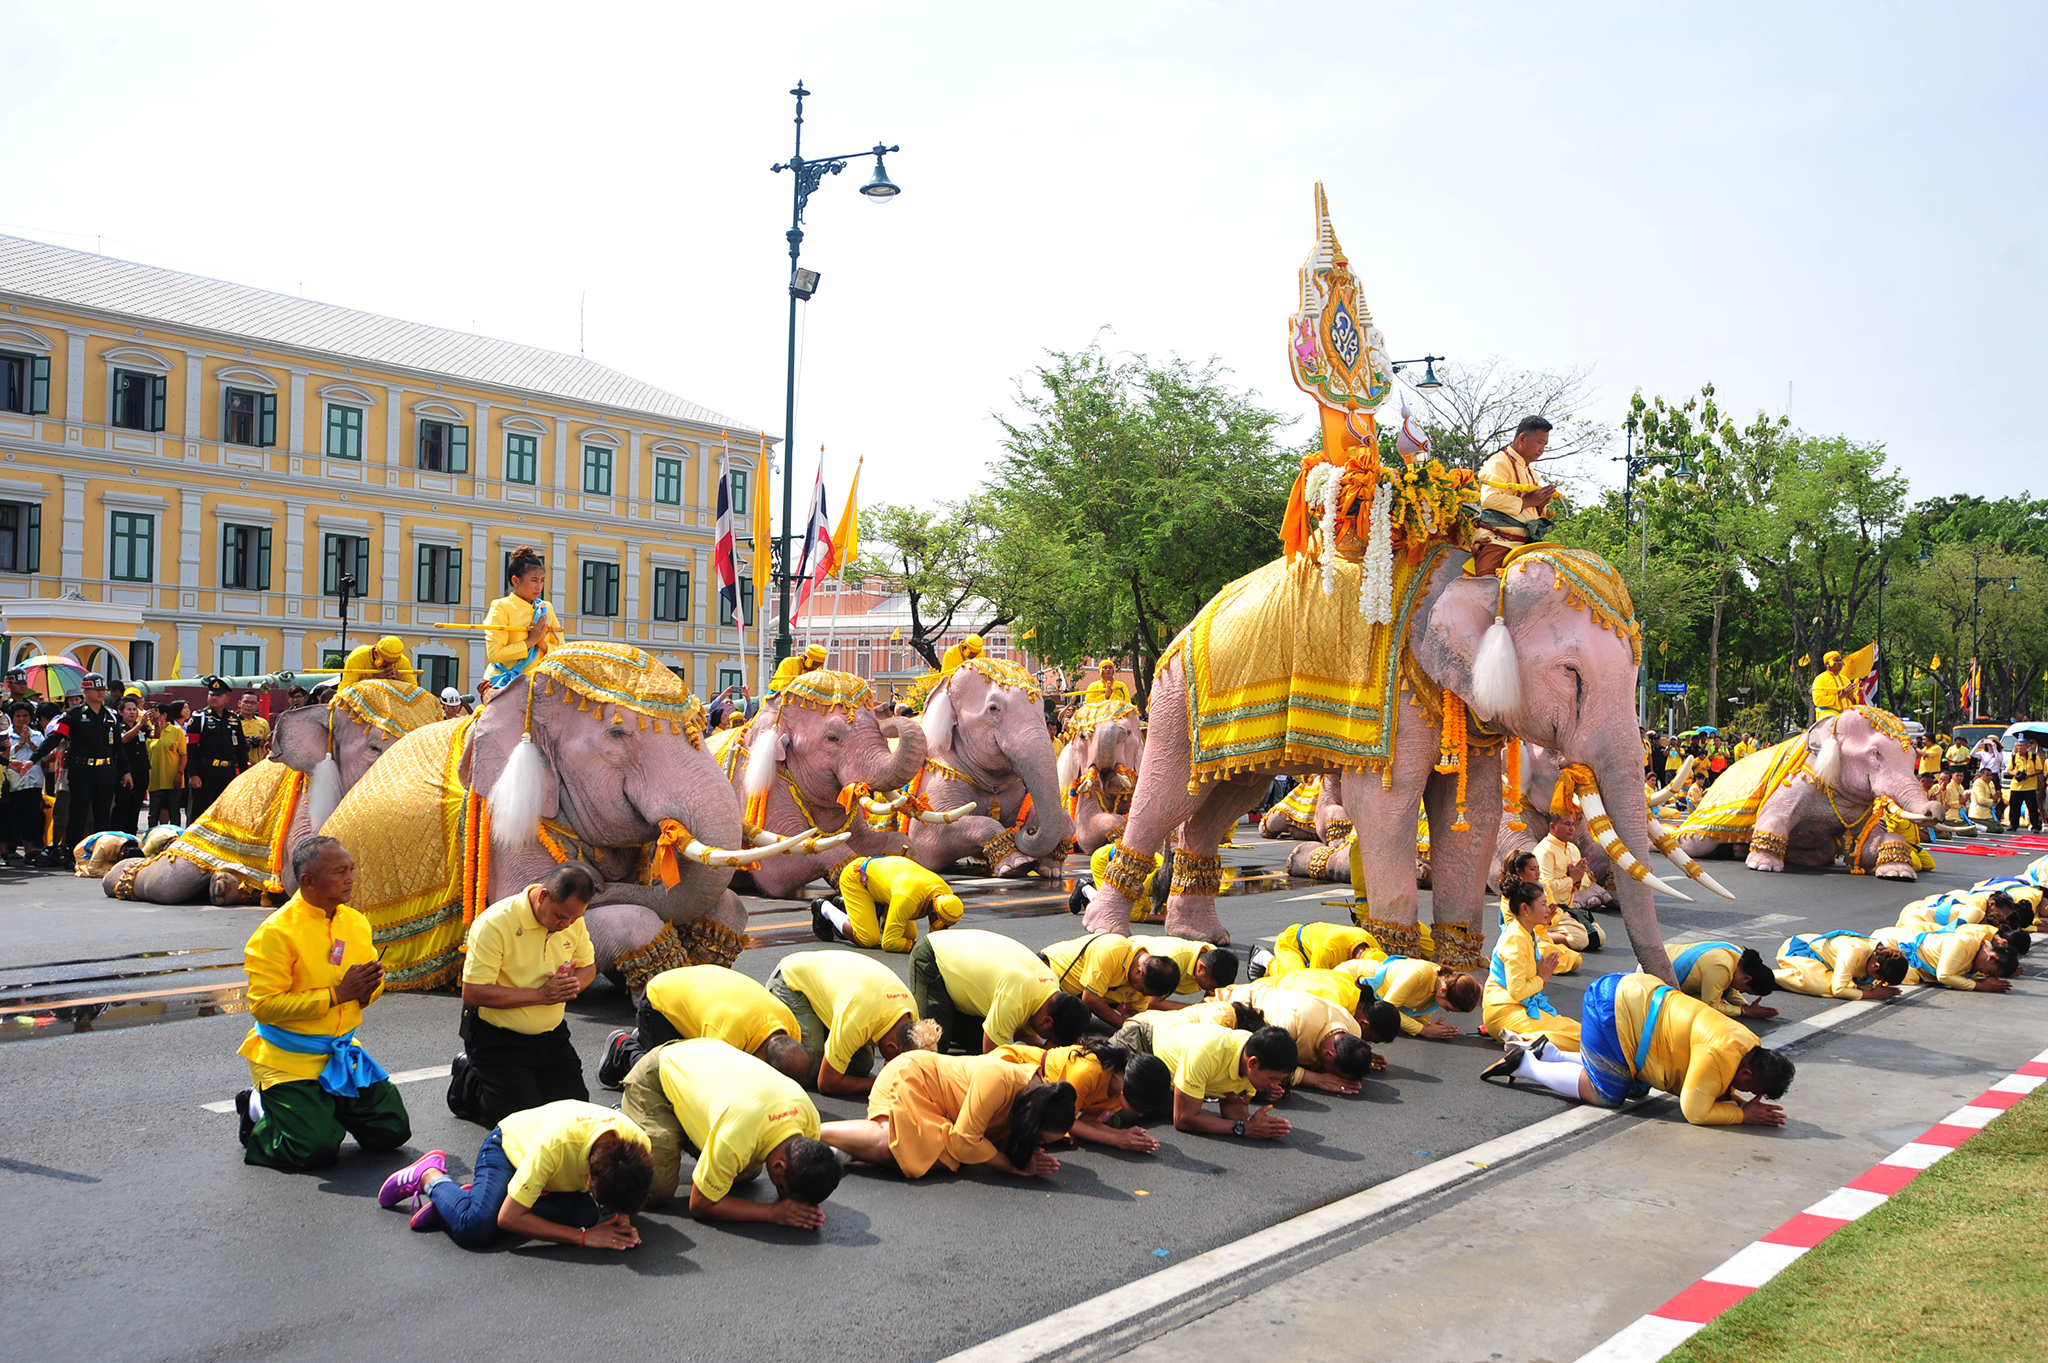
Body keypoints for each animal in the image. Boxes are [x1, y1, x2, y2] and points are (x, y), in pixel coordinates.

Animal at [909, 654, 1073, 871]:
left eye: (1041, 707)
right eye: (993, 708)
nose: (1028, 830)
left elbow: (1062, 818)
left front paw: (1049, 869)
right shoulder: (937, 773)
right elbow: (925, 841)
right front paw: (1018, 865)